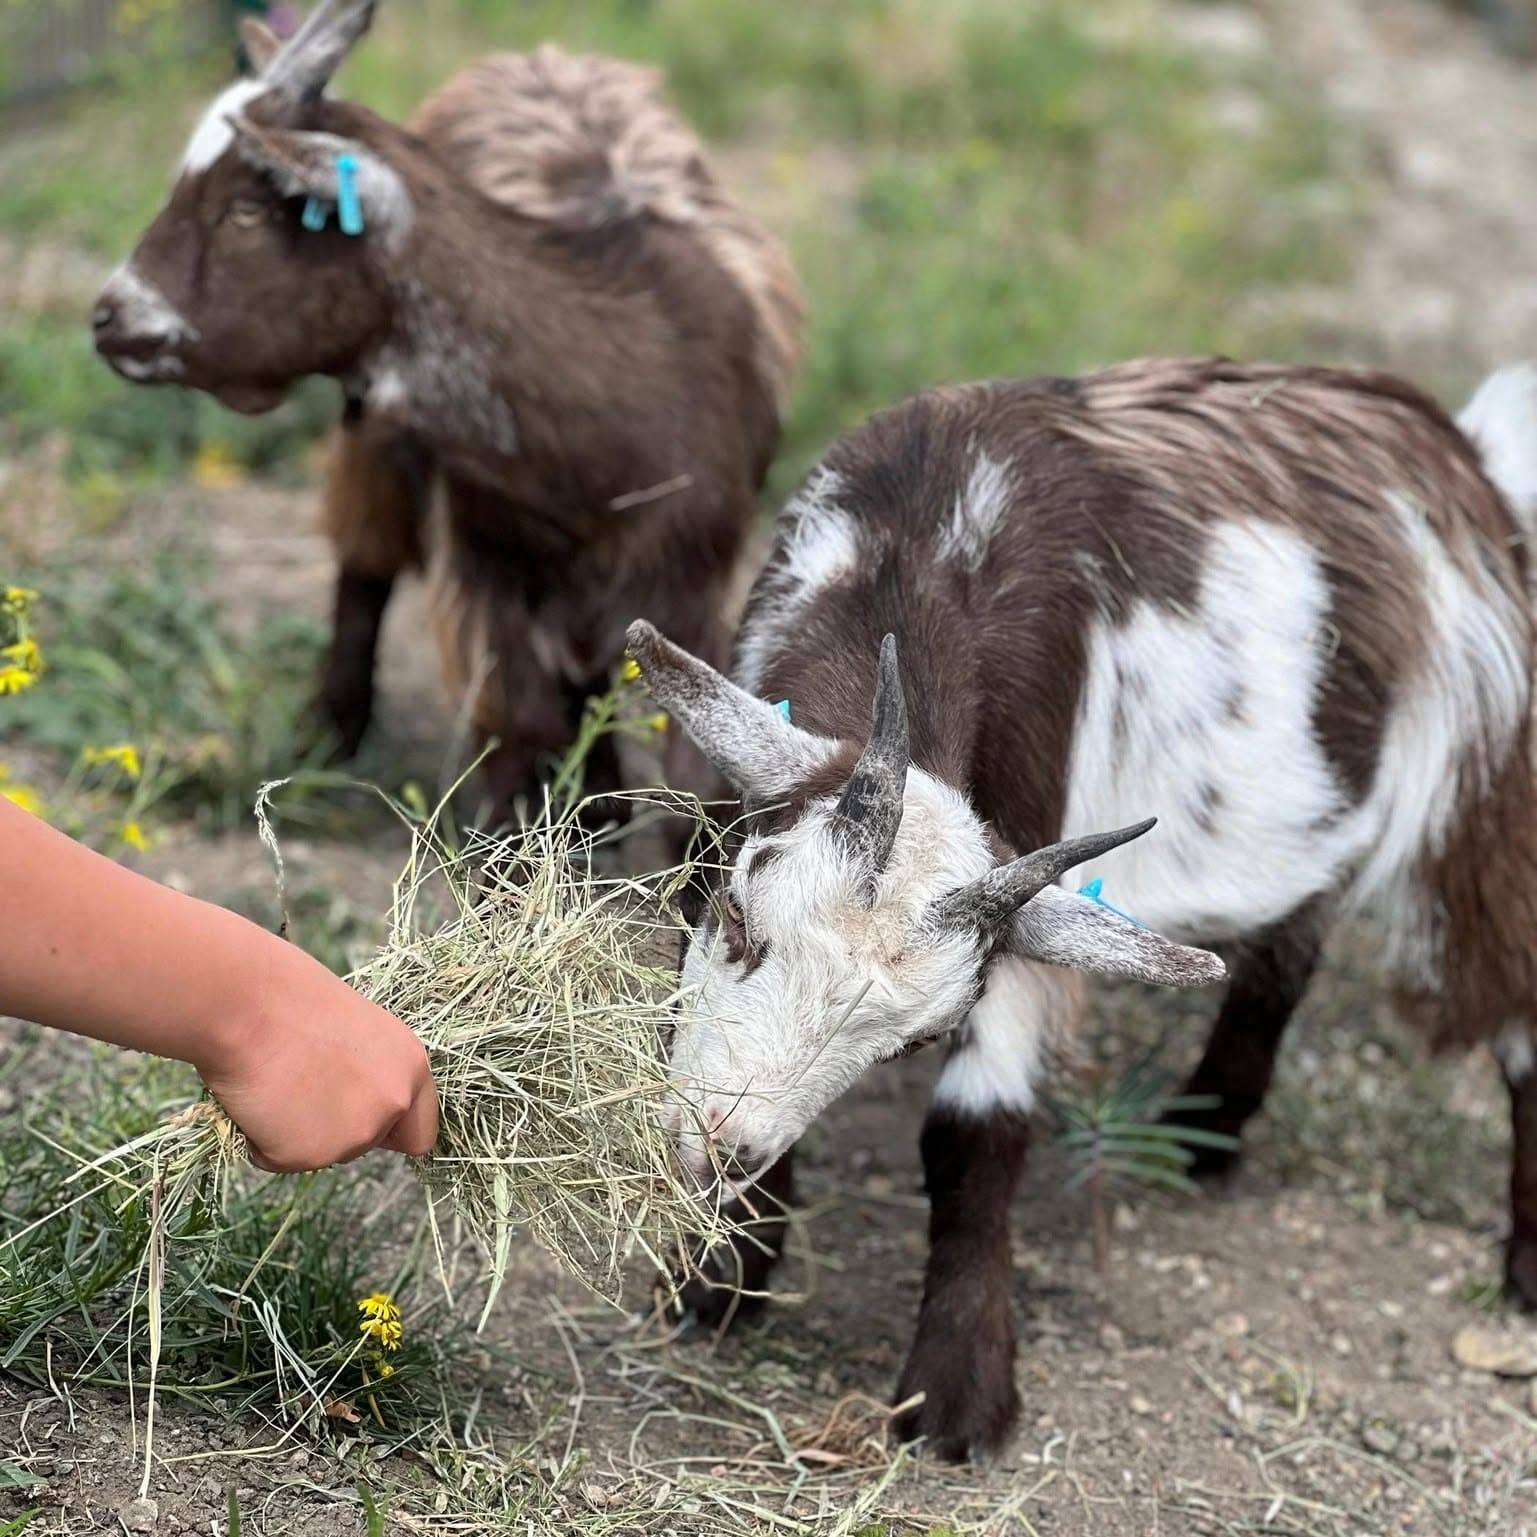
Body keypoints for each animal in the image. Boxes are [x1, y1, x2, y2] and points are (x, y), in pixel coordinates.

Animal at [91, 0, 801, 824]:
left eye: (244, 209)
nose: (110, 316)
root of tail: (542, 56)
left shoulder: (691, 586)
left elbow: (698, 772)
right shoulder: (487, 573)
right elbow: (519, 723)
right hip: (376, 444)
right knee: (366, 563)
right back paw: (327, 742)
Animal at [627, 356, 1537, 1462]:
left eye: (908, 1040)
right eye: (736, 919)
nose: (723, 1142)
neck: (920, 541)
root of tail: (1461, 453)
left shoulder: (1024, 847)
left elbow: (973, 1135)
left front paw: (955, 1396)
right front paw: (716, 1282)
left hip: (1487, 778)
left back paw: (1524, 1266)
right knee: (1291, 944)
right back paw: (1205, 1127)